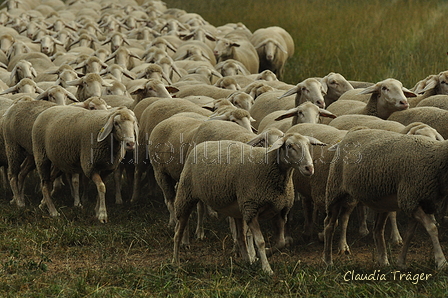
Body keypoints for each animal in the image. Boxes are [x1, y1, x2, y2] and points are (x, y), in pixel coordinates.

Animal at [172, 133, 326, 274]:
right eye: (289, 146)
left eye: (309, 145)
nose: (309, 168)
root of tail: (201, 145)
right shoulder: (252, 209)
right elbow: (260, 242)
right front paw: (267, 269)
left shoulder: (280, 211)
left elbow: (282, 242)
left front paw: (264, 254)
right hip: (186, 195)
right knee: (178, 232)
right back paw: (176, 261)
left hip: (236, 209)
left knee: (240, 238)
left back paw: (247, 262)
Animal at [322, 128, 448, 270]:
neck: (436, 157)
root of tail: (351, 133)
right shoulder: (409, 199)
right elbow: (432, 228)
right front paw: (442, 262)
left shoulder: (419, 202)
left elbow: (410, 234)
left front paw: (401, 262)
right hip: (335, 189)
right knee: (329, 224)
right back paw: (328, 261)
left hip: (382, 202)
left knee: (378, 230)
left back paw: (384, 261)